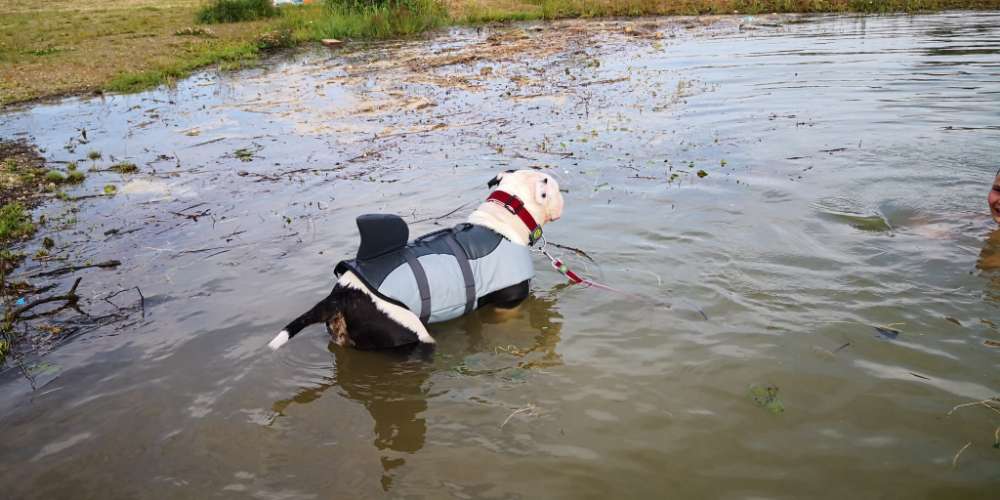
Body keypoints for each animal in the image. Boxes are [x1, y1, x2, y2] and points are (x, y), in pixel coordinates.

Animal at [268, 170, 564, 350]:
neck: (503, 220)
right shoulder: (509, 304)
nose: (563, 196)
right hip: (407, 331)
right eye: (554, 187)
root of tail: (342, 293)